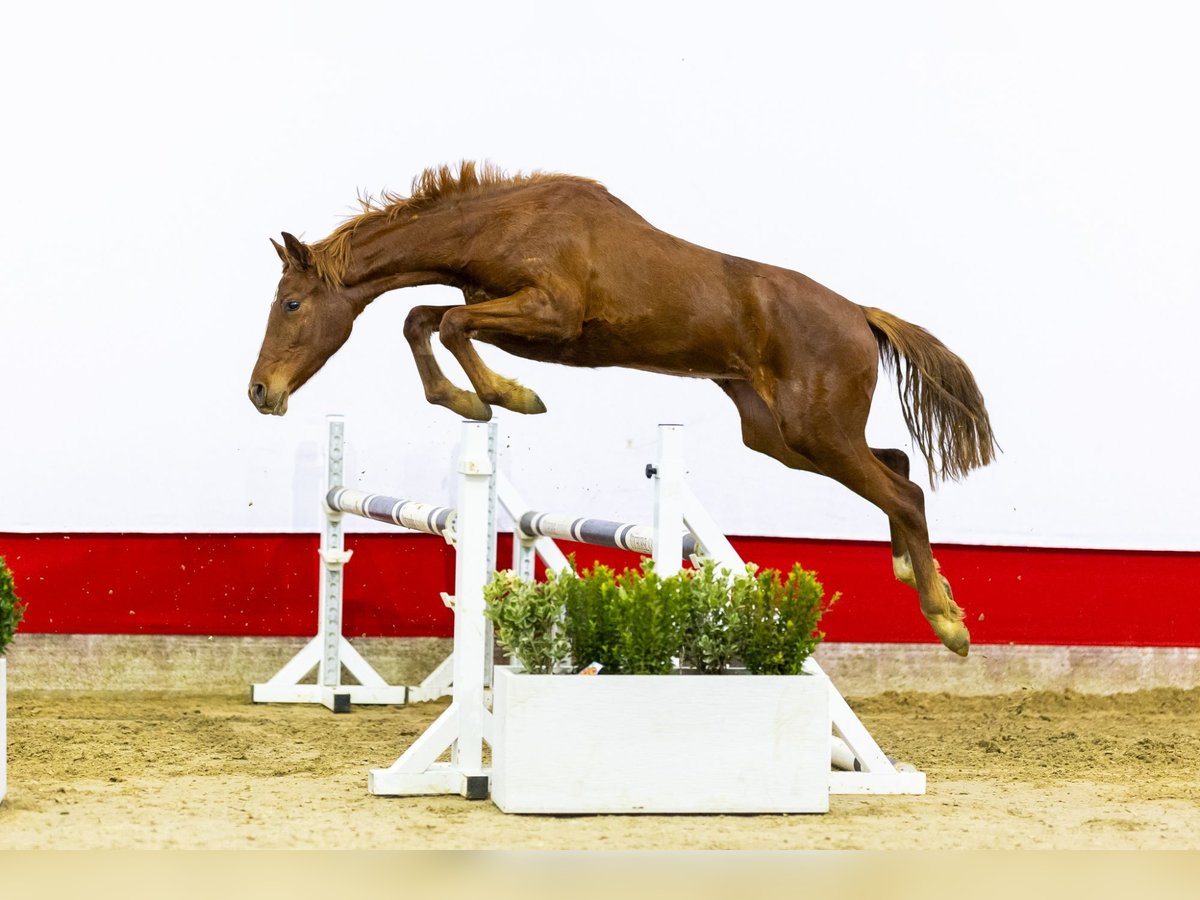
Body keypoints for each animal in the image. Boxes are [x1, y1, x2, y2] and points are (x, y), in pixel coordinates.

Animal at [248, 162, 998, 657]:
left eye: (291, 304)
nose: (260, 392)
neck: (500, 224)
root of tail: (857, 313)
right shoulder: (512, 317)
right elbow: (426, 318)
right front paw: (476, 398)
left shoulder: (548, 316)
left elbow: (447, 322)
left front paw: (507, 396)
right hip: (781, 435)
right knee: (897, 463)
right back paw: (915, 575)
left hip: (815, 431)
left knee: (902, 492)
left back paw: (948, 622)